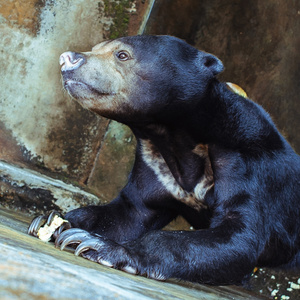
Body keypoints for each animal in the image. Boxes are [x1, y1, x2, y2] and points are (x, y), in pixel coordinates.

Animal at [28, 35, 300, 286]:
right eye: (95, 48)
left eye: (122, 55)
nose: (66, 59)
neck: (173, 136)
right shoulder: (155, 164)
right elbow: (130, 213)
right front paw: (56, 223)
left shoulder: (250, 163)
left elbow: (239, 235)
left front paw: (102, 247)